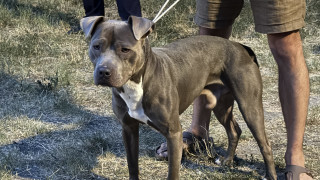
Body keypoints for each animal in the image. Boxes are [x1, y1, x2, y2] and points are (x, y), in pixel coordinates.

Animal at [81, 15, 276, 180]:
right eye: (96, 46)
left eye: (125, 49)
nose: (104, 71)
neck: (137, 83)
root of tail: (240, 46)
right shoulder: (128, 129)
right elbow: (132, 166)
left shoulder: (173, 133)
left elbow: (173, 173)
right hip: (221, 106)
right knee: (234, 130)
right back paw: (227, 160)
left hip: (250, 106)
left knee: (265, 144)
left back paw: (270, 175)